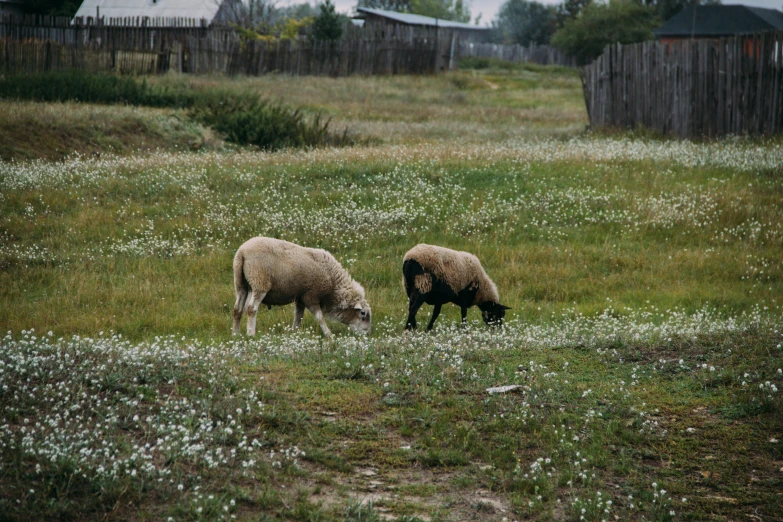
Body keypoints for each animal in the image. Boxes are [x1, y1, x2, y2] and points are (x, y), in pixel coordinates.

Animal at [233, 237, 374, 336]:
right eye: (363, 313)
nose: (367, 334)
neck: (333, 281)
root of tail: (242, 252)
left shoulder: (300, 298)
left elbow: (298, 317)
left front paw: (293, 332)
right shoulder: (311, 295)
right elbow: (319, 317)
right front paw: (329, 335)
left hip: (241, 285)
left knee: (237, 308)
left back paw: (236, 334)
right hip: (259, 282)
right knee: (251, 308)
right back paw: (251, 334)